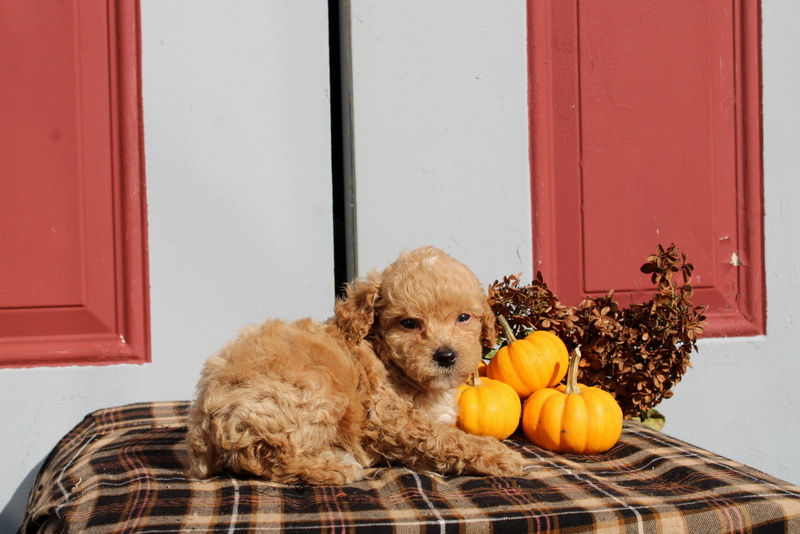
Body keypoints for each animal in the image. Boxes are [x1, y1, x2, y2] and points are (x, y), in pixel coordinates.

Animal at [187, 247, 524, 486]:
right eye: (409, 323)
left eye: (463, 318)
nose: (445, 356)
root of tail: (204, 429)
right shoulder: (387, 419)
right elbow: (444, 437)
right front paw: (497, 454)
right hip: (315, 391)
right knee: (275, 458)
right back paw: (334, 466)